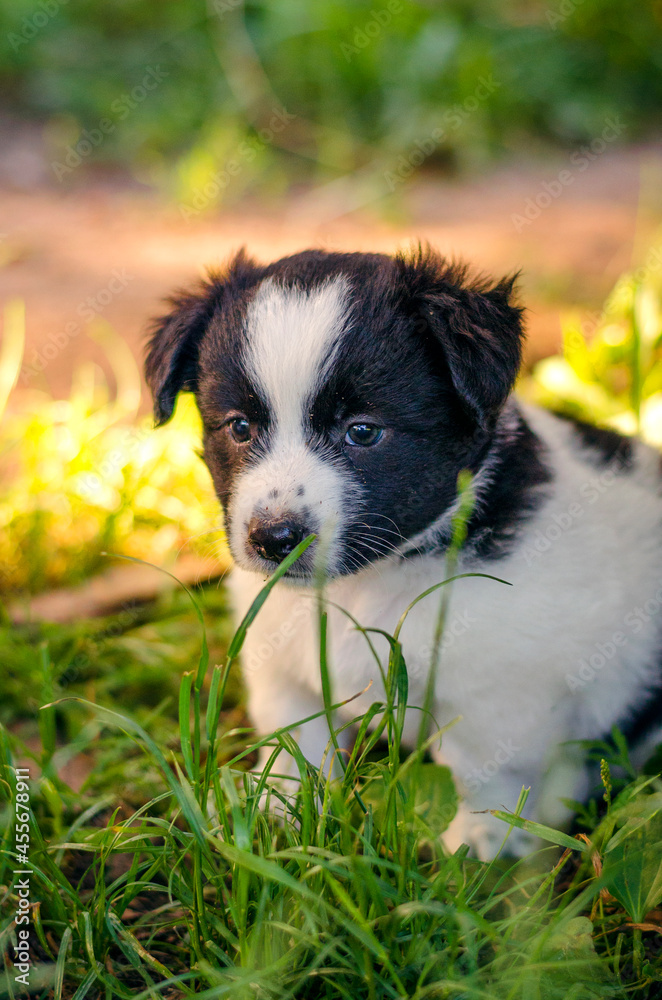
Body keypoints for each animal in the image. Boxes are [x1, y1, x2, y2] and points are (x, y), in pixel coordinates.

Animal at [145, 244, 662, 860]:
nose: (274, 539)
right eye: (240, 427)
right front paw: (278, 820)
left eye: (363, 432)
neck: (364, 586)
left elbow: (485, 771)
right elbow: (296, 743)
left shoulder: (499, 688)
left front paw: (479, 845)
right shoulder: (281, 663)